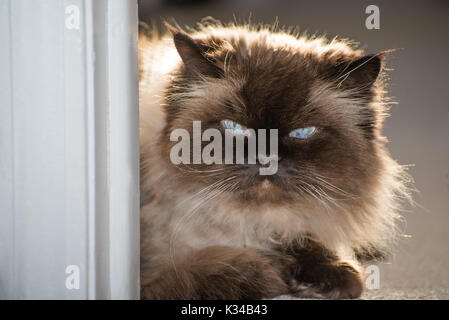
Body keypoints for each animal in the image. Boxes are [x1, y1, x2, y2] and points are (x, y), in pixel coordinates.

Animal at [138, 19, 412, 300]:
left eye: (302, 133)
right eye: (235, 127)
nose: (267, 158)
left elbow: (314, 247)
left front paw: (325, 277)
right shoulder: (152, 272)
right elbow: (218, 270)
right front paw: (274, 273)